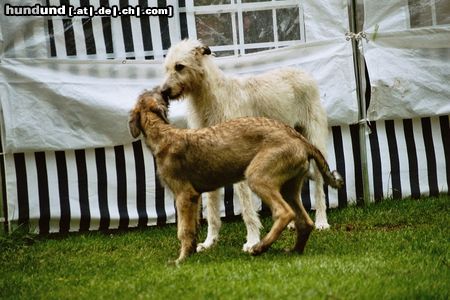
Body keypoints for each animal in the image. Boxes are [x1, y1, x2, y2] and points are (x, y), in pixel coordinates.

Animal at [128, 86, 342, 262]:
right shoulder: (195, 197)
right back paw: (293, 251)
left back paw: (259, 247)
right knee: (305, 222)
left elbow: (183, 230)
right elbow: (193, 229)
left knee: (284, 213)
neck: (163, 134)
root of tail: (301, 139)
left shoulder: (184, 195)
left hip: (258, 177)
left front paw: (180, 260)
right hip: (289, 188)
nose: (165, 90)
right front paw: (193, 252)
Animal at [162, 38, 330, 252]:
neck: (211, 98)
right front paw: (209, 241)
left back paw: (322, 221)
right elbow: (211, 206)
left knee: (319, 184)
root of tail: (303, 72)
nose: (163, 92)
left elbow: (246, 205)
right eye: (166, 68)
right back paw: (294, 222)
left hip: (314, 140)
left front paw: (252, 240)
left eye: (179, 66)